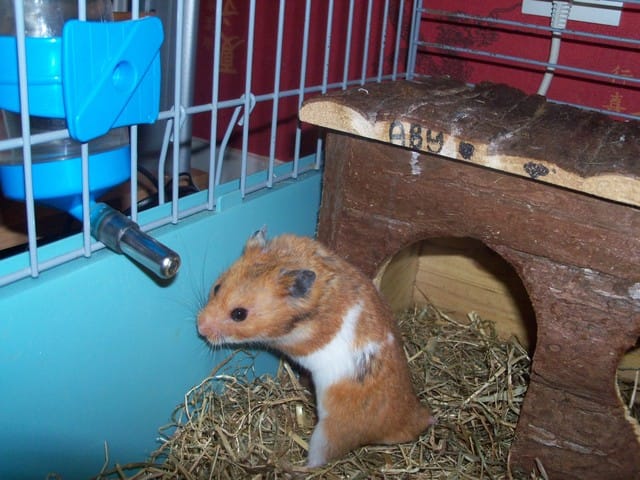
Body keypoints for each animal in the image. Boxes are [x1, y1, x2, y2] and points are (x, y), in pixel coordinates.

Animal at [197, 228, 434, 467]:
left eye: (239, 314)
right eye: (217, 287)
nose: (199, 327)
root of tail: (413, 419)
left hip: (327, 435)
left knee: (318, 461)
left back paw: (293, 467)